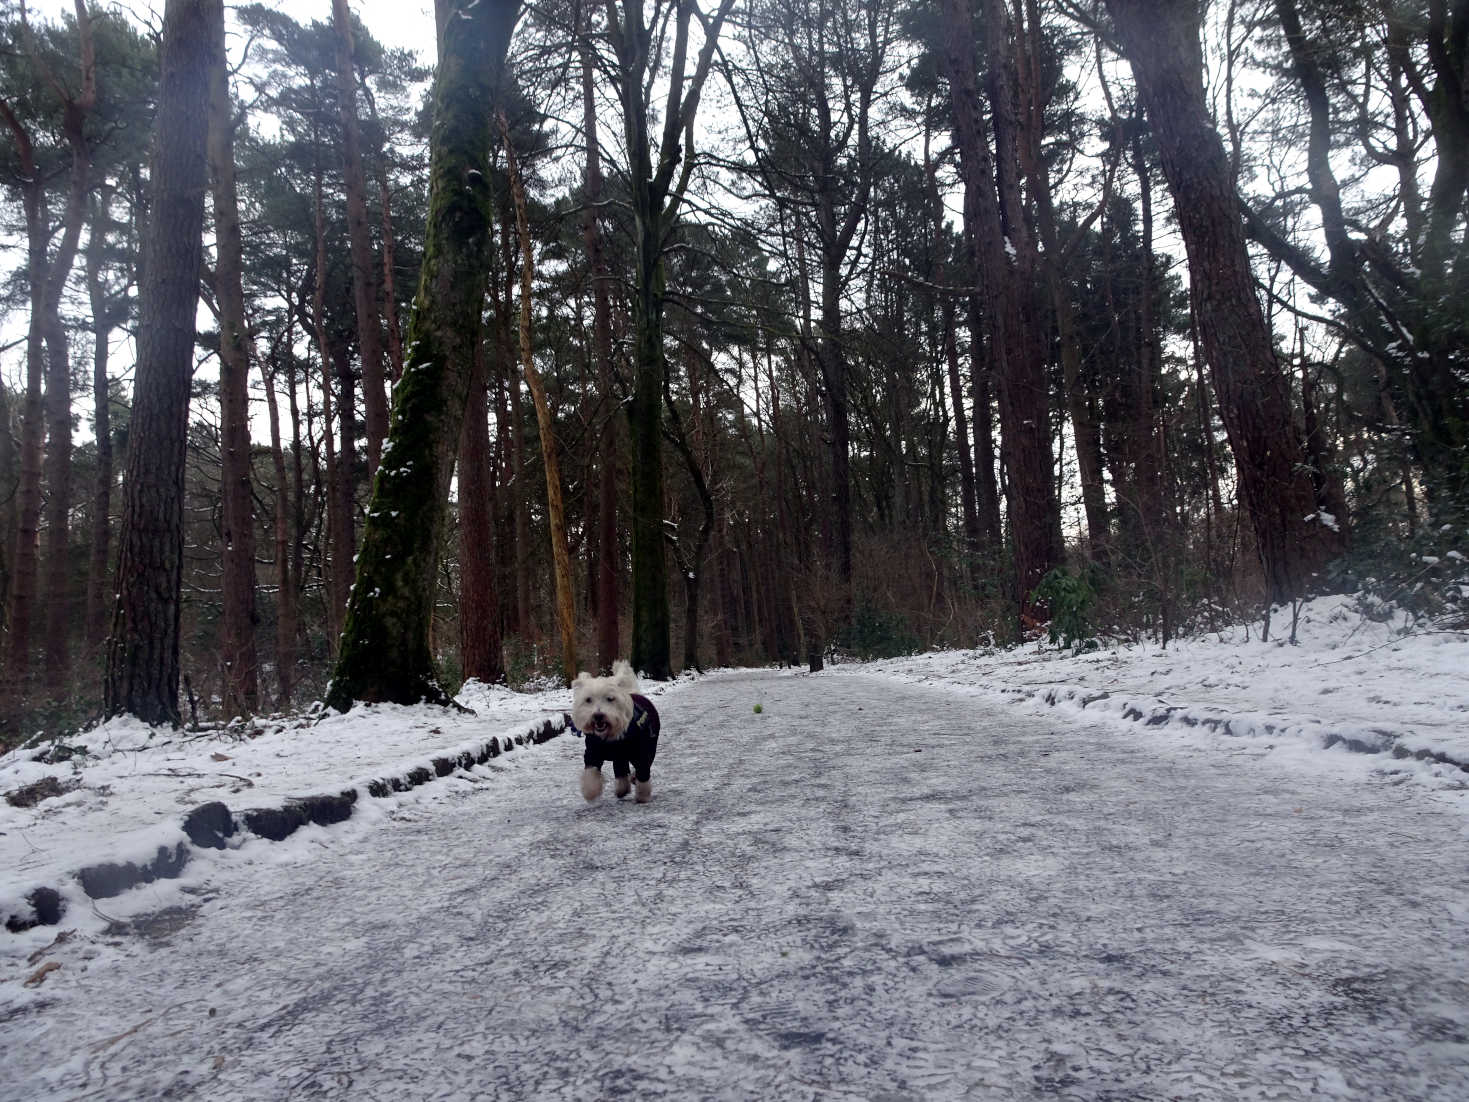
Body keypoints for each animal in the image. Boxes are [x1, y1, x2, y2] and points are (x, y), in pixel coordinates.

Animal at [569, 661, 663, 805]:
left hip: (650, 744)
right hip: (621, 756)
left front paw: (643, 795)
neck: (610, 738)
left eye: (610, 698)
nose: (598, 715)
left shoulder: (639, 752)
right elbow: (591, 772)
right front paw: (590, 792)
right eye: (588, 700)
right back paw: (622, 789)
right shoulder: (593, 753)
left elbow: (643, 771)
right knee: (621, 771)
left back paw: (632, 780)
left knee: (644, 764)